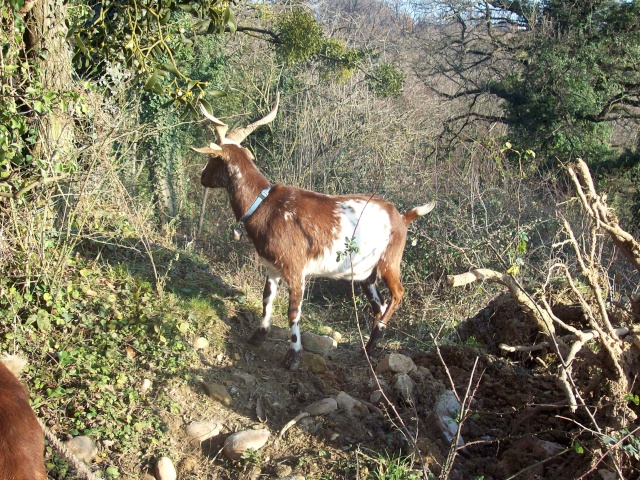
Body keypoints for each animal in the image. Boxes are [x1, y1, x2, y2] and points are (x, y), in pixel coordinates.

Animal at [191, 94, 436, 372]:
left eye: (211, 159)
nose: (202, 178)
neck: (265, 205)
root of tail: (402, 218)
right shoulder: (272, 267)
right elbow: (266, 300)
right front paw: (258, 336)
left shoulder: (296, 269)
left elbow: (293, 312)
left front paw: (293, 356)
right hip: (367, 274)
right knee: (379, 305)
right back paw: (369, 348)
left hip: (389, 261)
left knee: (397, 294)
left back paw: (373, 343)